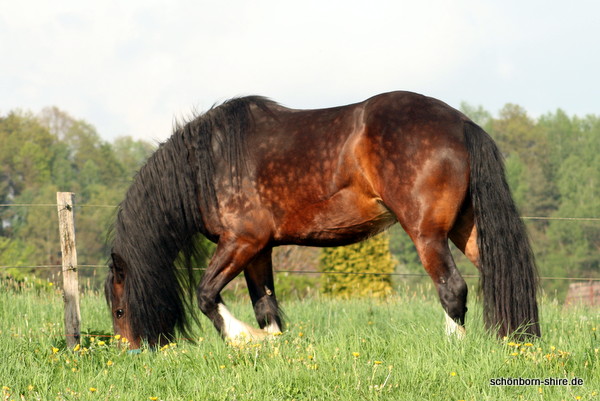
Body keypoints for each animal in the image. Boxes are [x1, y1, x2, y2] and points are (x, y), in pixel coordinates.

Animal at [105, 90, 540, 346]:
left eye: (120, 310)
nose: (132, 352)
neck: (207, 164)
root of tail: (461, 122)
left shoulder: (241, 241)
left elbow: (207, 295)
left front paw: (243, 340)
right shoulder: (259, 250)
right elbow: (266, 306)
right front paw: (274, 348)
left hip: (427, 233)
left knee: (452, 289)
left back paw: (455, 347)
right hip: (466, 229)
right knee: (498, 276)